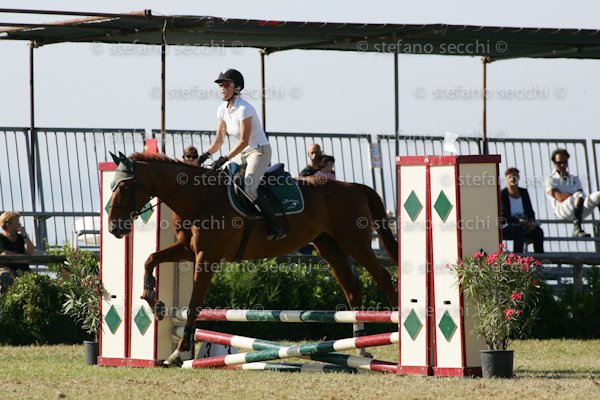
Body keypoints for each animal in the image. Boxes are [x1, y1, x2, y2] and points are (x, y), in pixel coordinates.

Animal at [107, 152, 398, 367]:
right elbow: (150, 259)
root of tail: (353, 187)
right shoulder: (186, 250)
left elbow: (193, 304)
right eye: (111, 185)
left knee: (384, 279)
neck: (198, 197)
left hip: (355, 243)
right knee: (352, 290)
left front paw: (179, 352)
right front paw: (153, 300)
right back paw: (361, 349)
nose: (113, 228)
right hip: (329, 246)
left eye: (124, 186)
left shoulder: (207, 257)